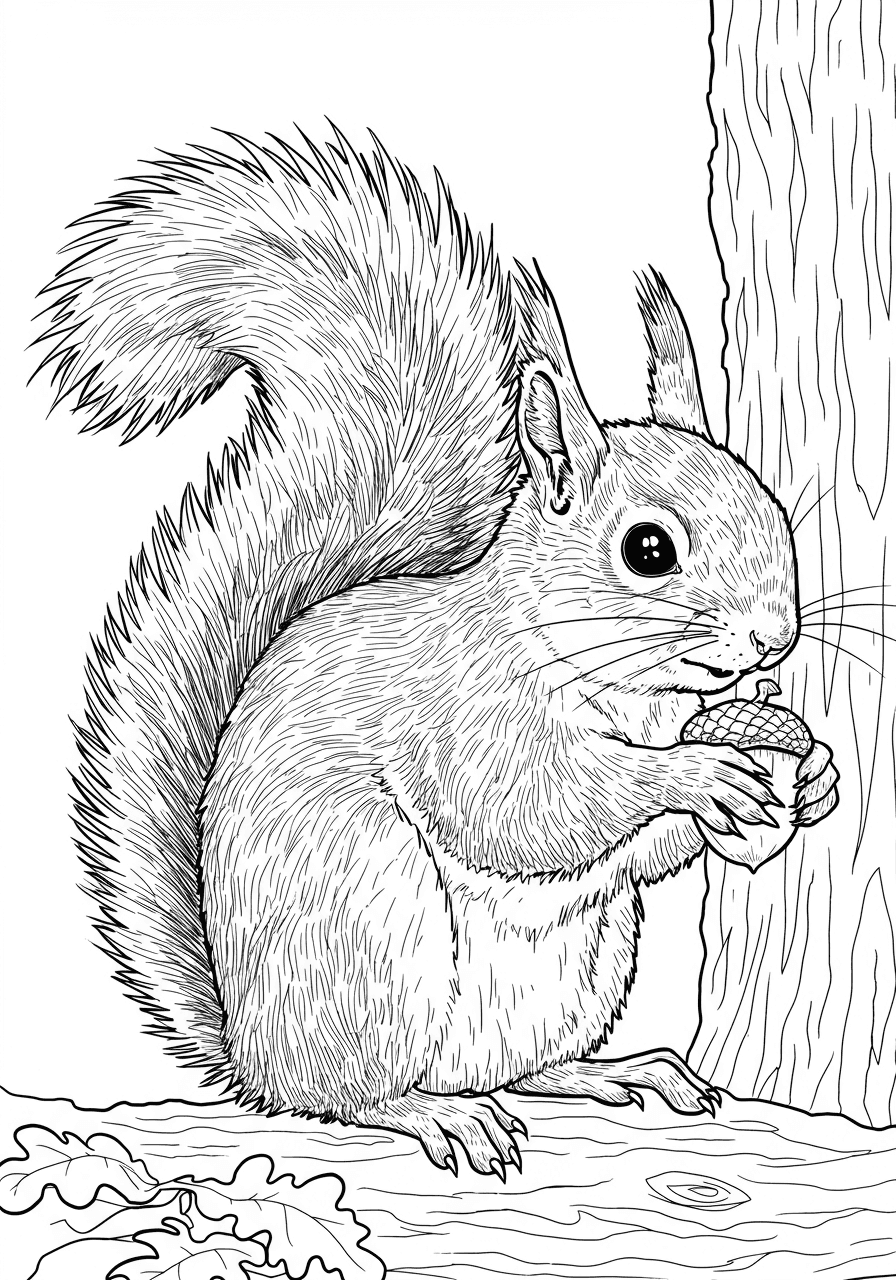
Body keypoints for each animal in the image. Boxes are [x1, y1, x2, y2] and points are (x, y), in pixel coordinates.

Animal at [38, 126, 838, 1177]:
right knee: (348, 1097)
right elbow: (528, 809)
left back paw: (618, 1072)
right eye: (648, 549)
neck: (628, 696)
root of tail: (250, 1052)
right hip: (377, 931)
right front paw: (696, 775)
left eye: (773, 506)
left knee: (527, 1069)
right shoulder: (463, 715)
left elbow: (652, 853)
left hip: (586, 965)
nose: (772, 638)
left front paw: (807, 777)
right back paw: (432, 1113)